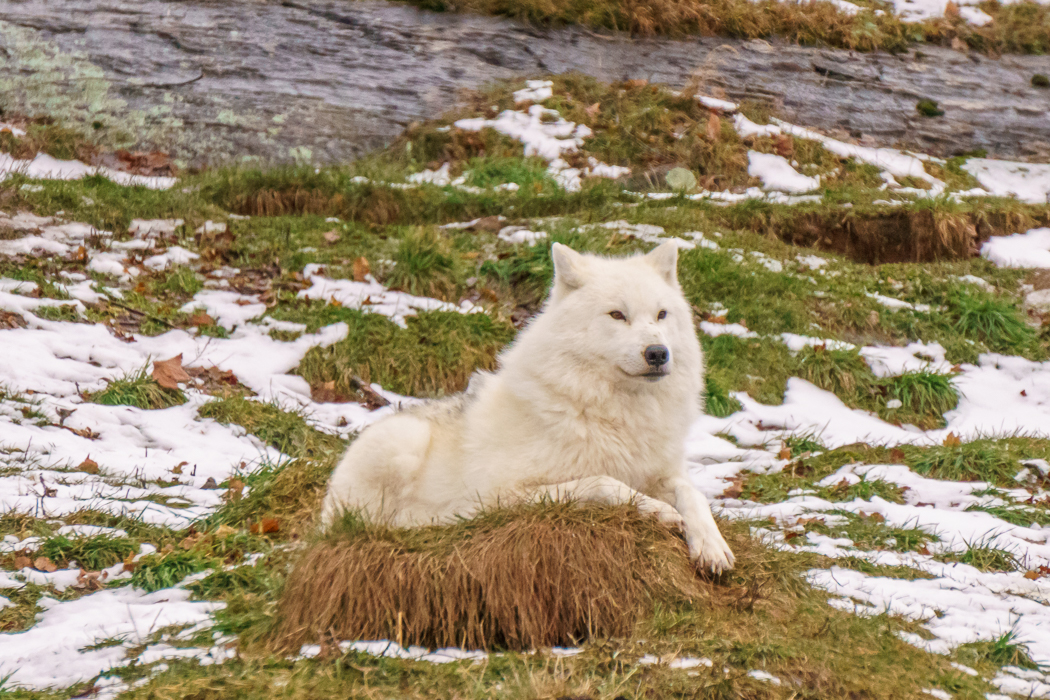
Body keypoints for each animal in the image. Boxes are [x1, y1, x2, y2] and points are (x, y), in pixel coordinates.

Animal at [323, 243, 734, 570]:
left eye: (662, 315)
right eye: (617, 315)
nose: (658, 353)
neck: (616, 415)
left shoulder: (662, 471)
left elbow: (692, 494)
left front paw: (712, 545)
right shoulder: (505, 492)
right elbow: (603, 483)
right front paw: (656, 511)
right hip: (403, 442)